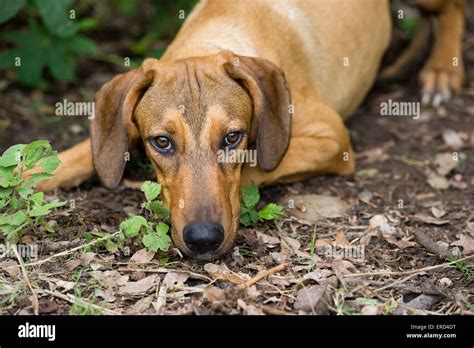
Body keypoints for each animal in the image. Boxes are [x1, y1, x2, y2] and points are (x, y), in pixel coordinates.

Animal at [35, 0, 464, 260]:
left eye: (232, 138)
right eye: (163, 142)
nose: (203, 239)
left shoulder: (332, 138)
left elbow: (257, 168)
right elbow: (67, 157)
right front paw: (34, 171)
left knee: (452, 9)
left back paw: (442, 69)